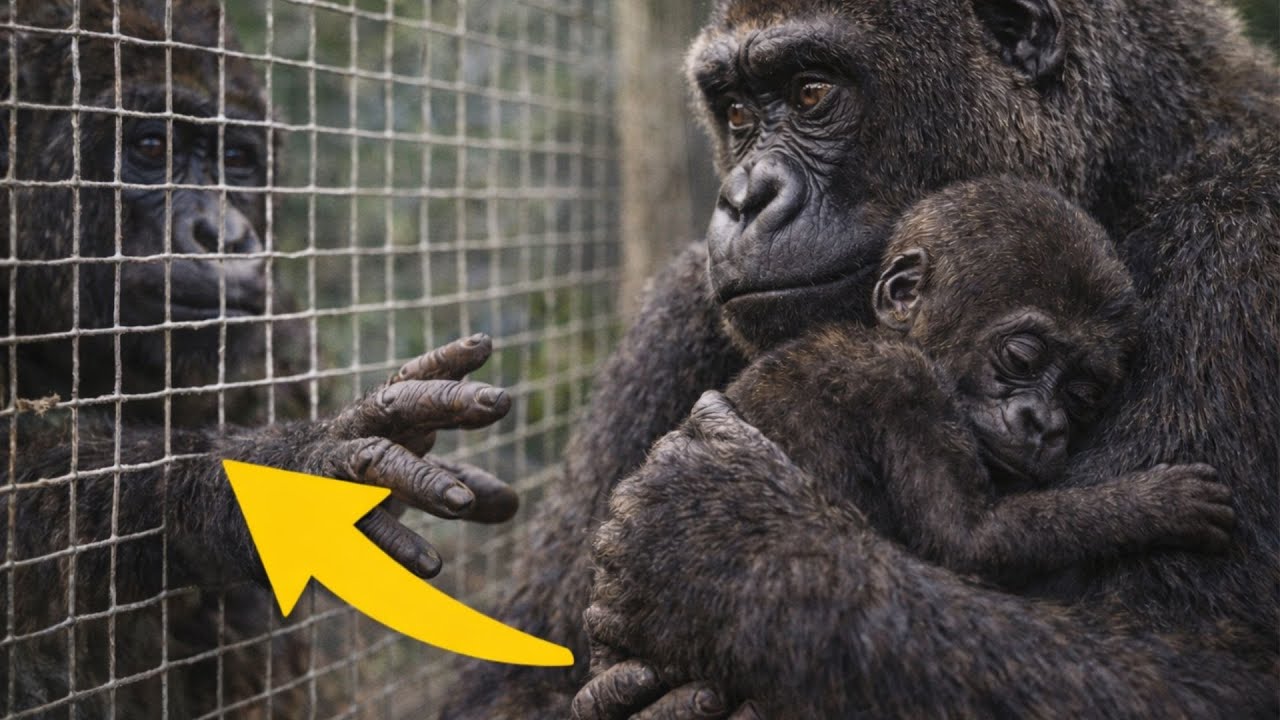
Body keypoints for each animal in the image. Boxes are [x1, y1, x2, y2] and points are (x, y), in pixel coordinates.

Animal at [707, 178, 1235, 587]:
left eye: (1081, 396)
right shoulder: (907, 384)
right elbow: (969, 539)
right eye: (1021, 357)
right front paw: (1157, 502)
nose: (1043, 424)